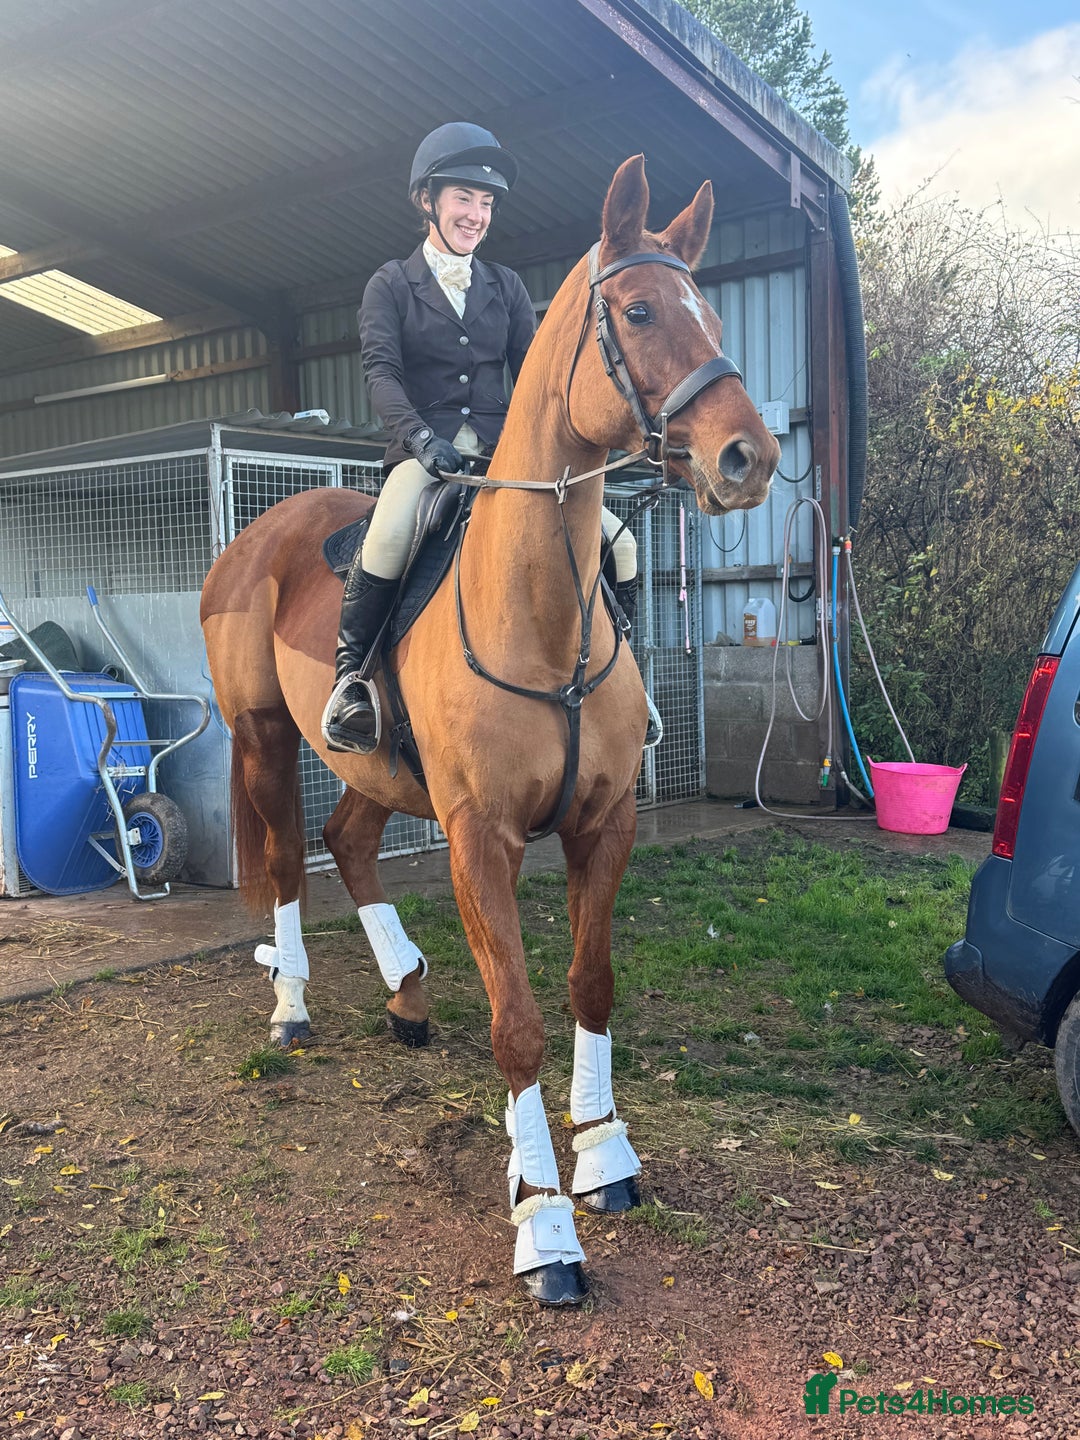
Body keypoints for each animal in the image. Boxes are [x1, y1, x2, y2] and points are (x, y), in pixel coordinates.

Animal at [200, 155, 780, 1305]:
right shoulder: (480, 838)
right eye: (639, 312)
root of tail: (257, 536)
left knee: (346, 845)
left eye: (709, 310)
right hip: (265, 740)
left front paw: (603, 1156)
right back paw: (291, 1008)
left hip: (371, 770)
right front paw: (544, 1226)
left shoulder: (605, 824)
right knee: (288, 861)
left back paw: (409, 998)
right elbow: (518, 1024)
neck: (541, 619)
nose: (750, 456)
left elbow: (590, 986)